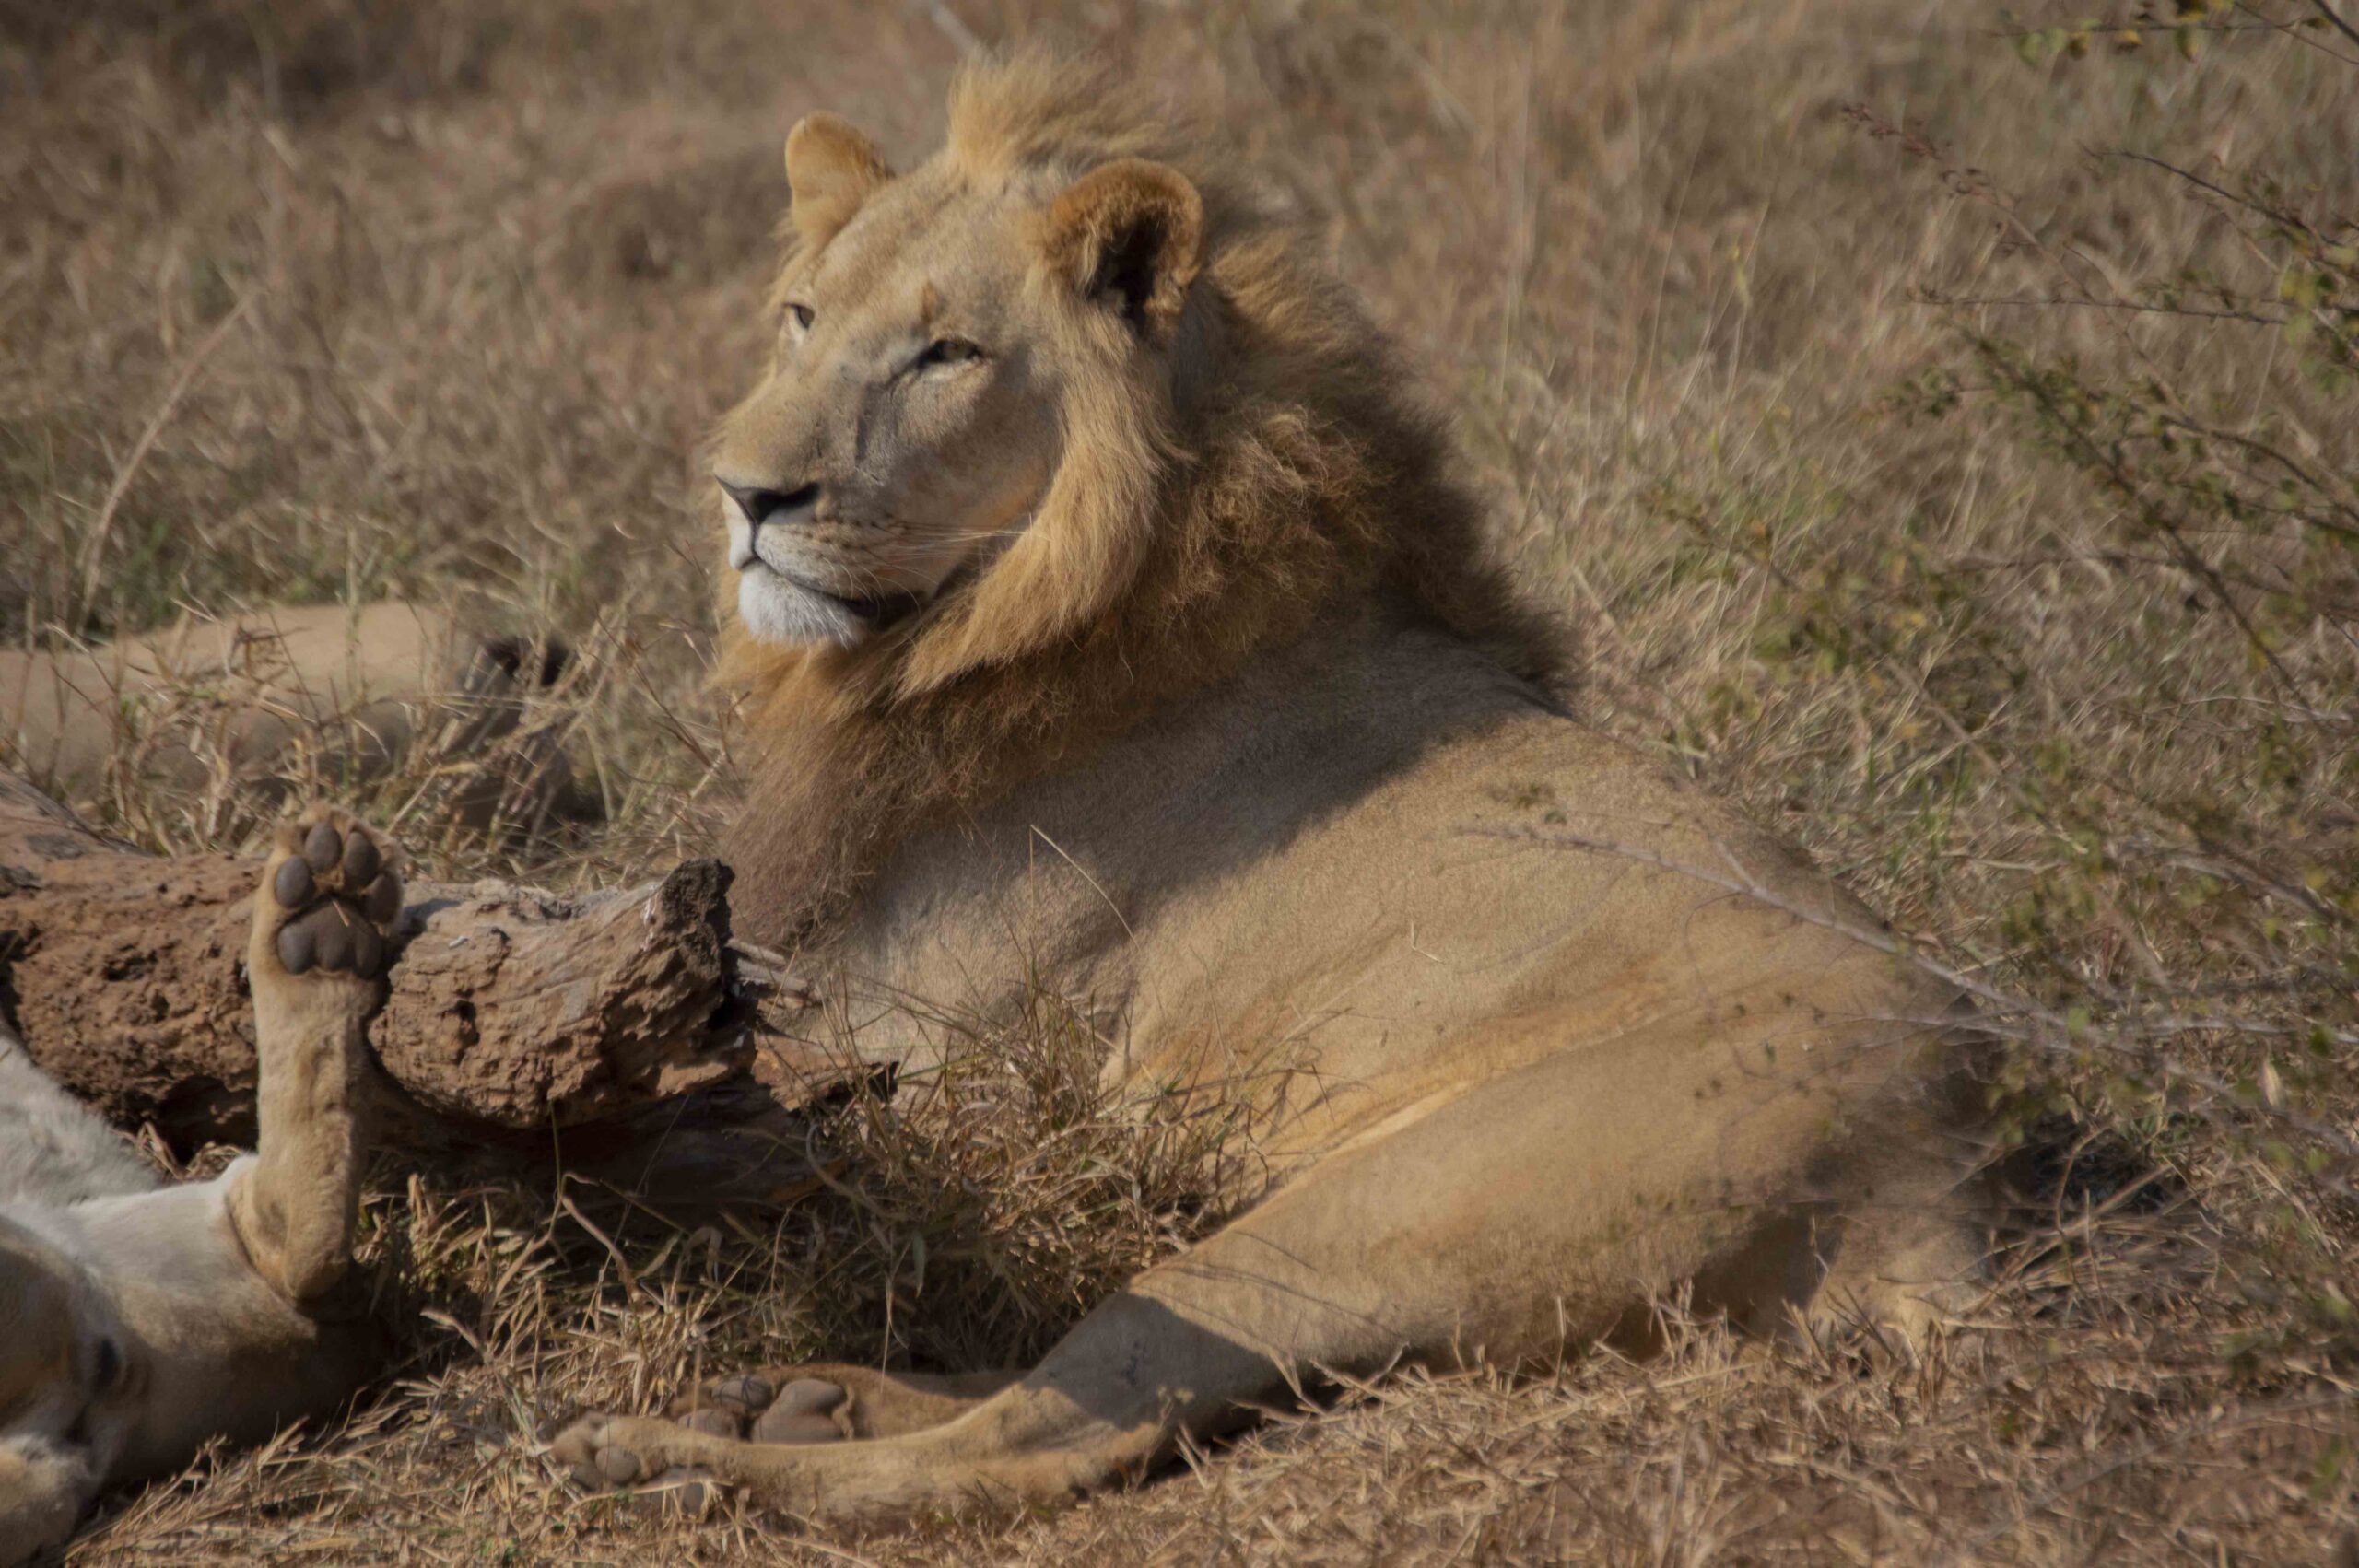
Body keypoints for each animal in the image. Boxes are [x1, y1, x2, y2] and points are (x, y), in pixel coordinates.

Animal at [542, 45, 1981, 1518]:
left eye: (948, 354)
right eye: (801, 317)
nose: (743, 494)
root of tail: (1939, 1164)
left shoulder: (925, 1051)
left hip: (1371, 1212)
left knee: (1041, 1435)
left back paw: (674, 1456)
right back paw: (796, 1397)